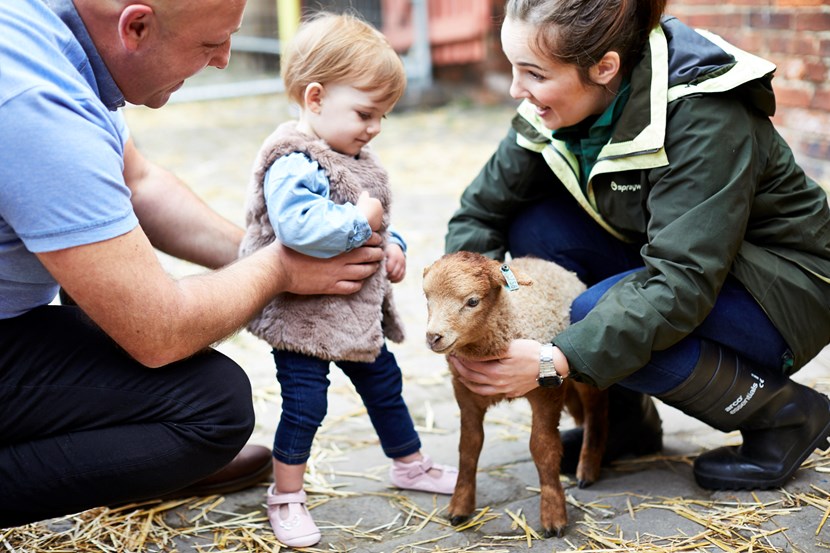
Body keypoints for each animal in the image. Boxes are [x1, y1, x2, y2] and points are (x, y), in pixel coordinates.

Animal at [422, 252, 612, 536]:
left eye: (472, 301)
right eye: (427, 298)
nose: (433, 337)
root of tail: (548, 263)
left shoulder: (547, 392)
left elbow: (543, 448)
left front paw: (553, 515)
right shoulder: (465, 393)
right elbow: (468, 447)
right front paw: (460, 507)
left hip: (581, 374)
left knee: (596, 407)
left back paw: (587, 468)